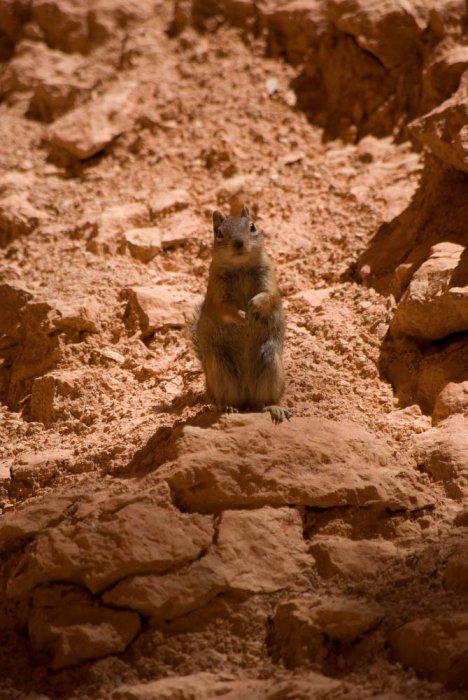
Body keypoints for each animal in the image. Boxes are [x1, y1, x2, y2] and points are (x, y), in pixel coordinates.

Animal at [192, 202, 290, 422]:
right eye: (219, 233)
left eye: (252, 226)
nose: (238, 243)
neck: (241, 267)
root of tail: (246, 395)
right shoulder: (216, 292)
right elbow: (223, 308)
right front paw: (242, 315)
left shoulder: (269, 278)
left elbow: (268, 296)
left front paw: (253, 305)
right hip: (221, 368)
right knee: (227, 400)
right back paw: (227, 407)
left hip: (271, 363)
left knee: (263, 402)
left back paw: (274, 408)